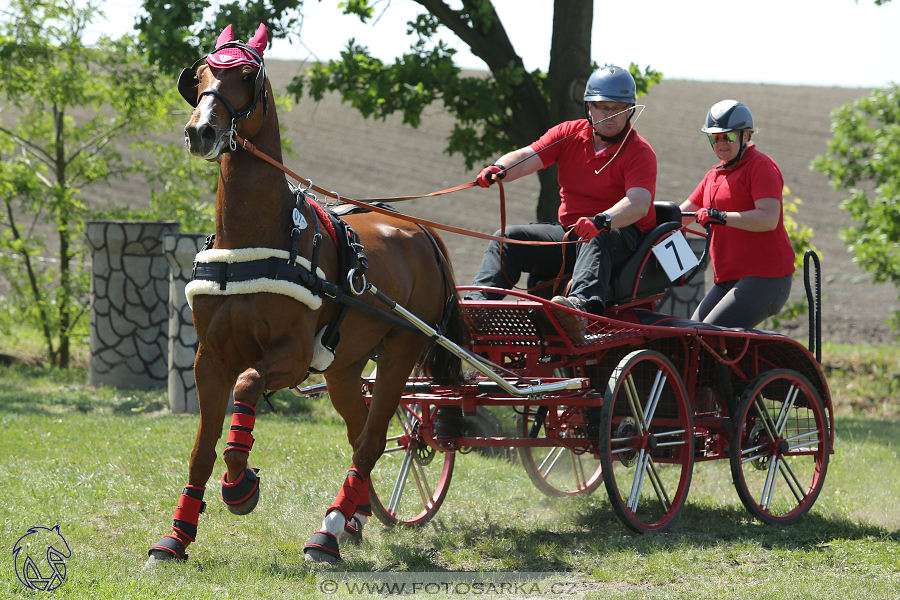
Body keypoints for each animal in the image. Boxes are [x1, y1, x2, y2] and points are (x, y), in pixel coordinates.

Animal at [144, 24, 468, 568]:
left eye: (247, 75)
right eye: (201, 74)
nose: (201, 131)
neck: (253, 238)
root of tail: (419, 231)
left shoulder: (292, 356)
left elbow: (248, 386)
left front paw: (241, 484)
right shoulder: (210, 358)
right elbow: (201, 451)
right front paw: (175, 538)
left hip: (399, 351)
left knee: (372, 440)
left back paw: (327, 534)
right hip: (344, 367)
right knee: (362, 435)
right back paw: (350, 519)